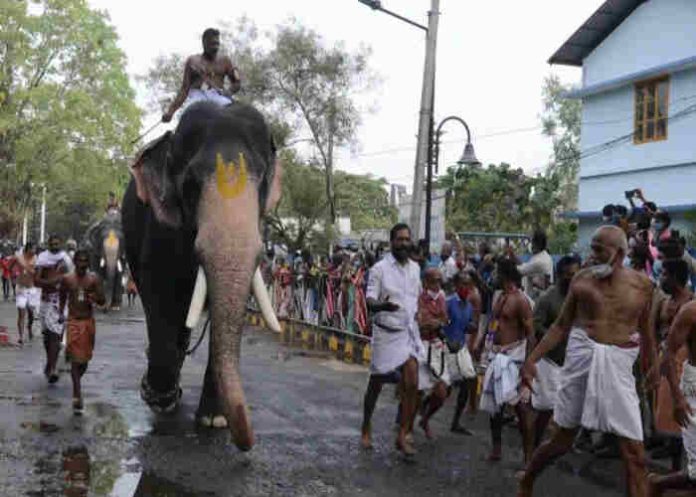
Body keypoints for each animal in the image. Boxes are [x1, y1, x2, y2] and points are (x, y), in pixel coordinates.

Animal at [122, 101, 282, 450]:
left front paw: (214, 420)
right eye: (191, 183)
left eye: (262, 180)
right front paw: (159, 398)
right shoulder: (160, 227)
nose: (247, 444)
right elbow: (160, 296)